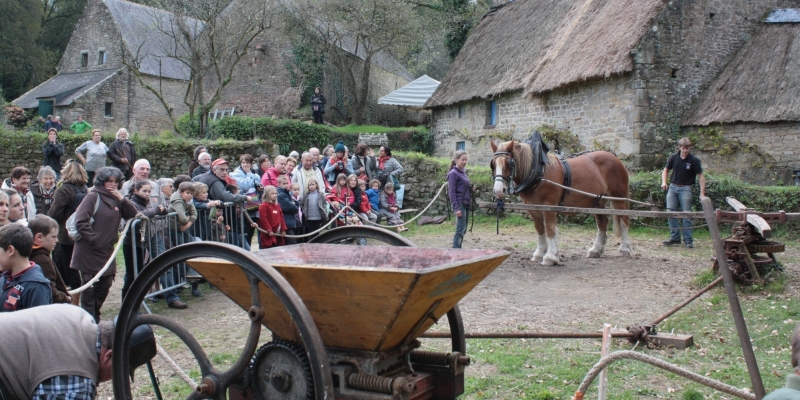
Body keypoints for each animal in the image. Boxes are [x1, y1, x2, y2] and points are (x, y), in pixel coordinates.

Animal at [488, 141, 632, 266]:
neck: (538, 172)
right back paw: (596, 250)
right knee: (602, 223)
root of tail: (615, 158)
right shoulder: (532, 208)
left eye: (509, 163)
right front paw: (539, 253)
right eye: (493, 164)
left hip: (619, 198)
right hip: (598, 202)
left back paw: (625, 249)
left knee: (624, 220)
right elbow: (540, 229)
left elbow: (550, 229)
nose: (499, 191)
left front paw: (550, 257)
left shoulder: (549, 206)